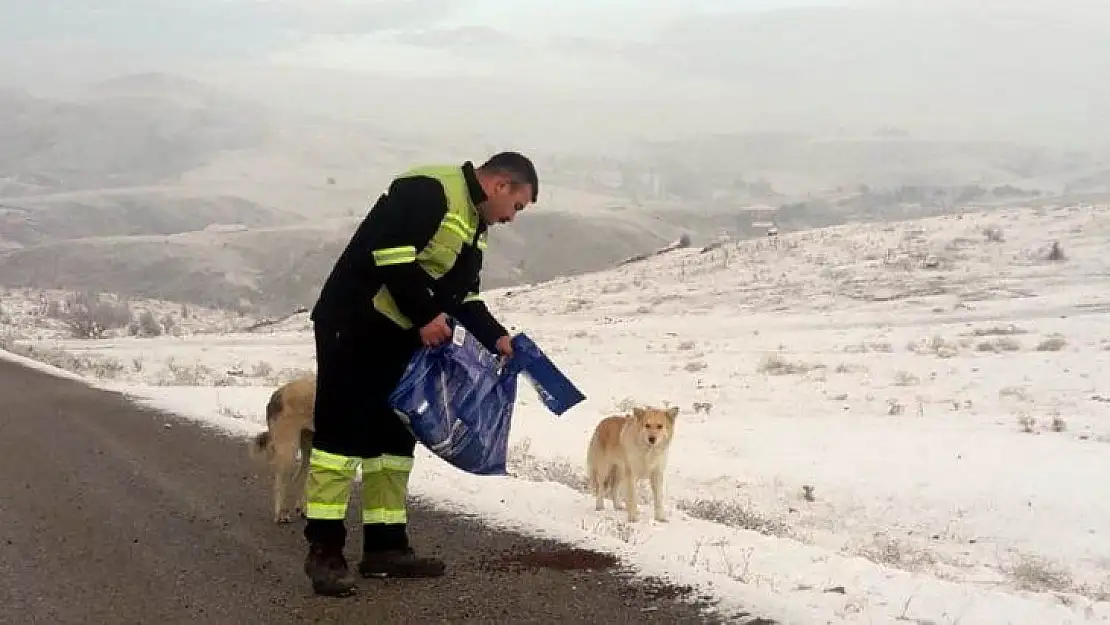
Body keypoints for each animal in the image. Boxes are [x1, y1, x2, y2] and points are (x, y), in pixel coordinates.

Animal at [250, 375, 317, 526]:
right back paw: (282, 514)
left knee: (300, 475)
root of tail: (277, 394)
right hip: (288, 447)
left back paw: (302, 509)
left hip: (306, 442)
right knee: (282, 480)